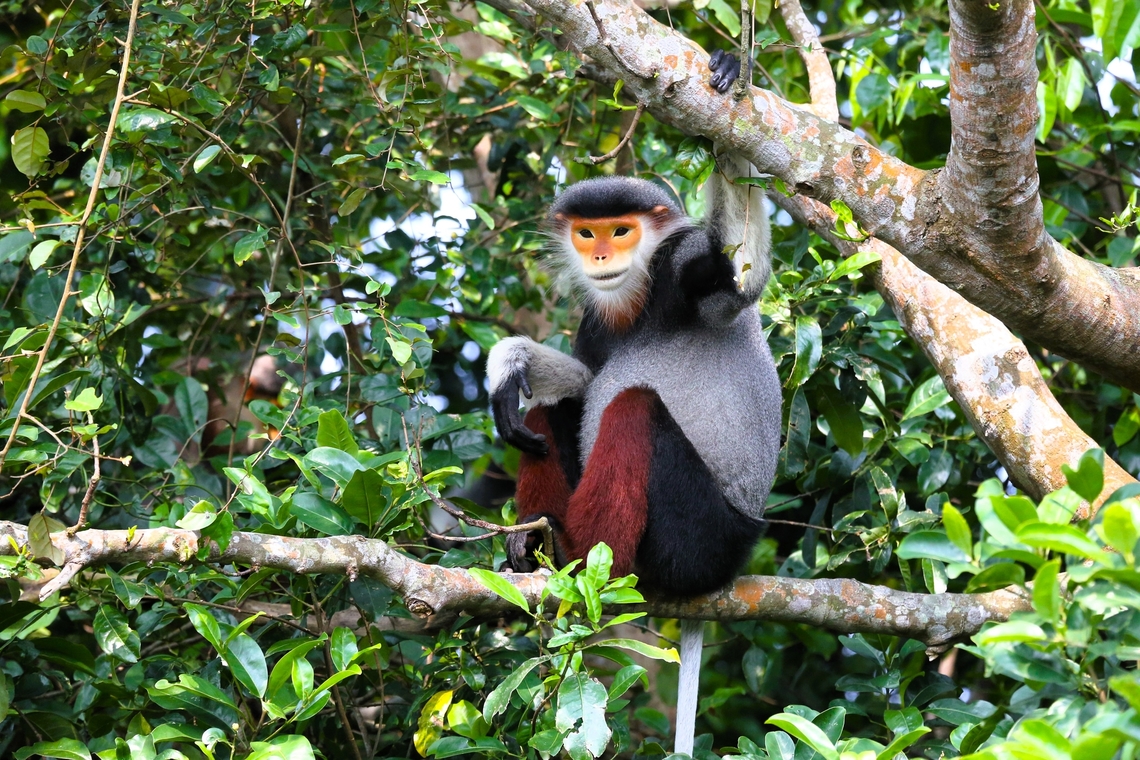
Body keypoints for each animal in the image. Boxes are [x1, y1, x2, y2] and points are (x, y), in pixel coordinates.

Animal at [486, 50, 776, 757]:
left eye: (622, 231)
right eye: (588, 232)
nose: (598, 254)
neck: (642, 295)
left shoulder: (685, 268)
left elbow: (741, 275)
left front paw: (732, 77)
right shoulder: (598, 317)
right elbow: (587, 378)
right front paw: (508, 362)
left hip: (701, 541)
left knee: (634, 408)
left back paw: (588, 568)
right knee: (549, 413)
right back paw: (534, 547)